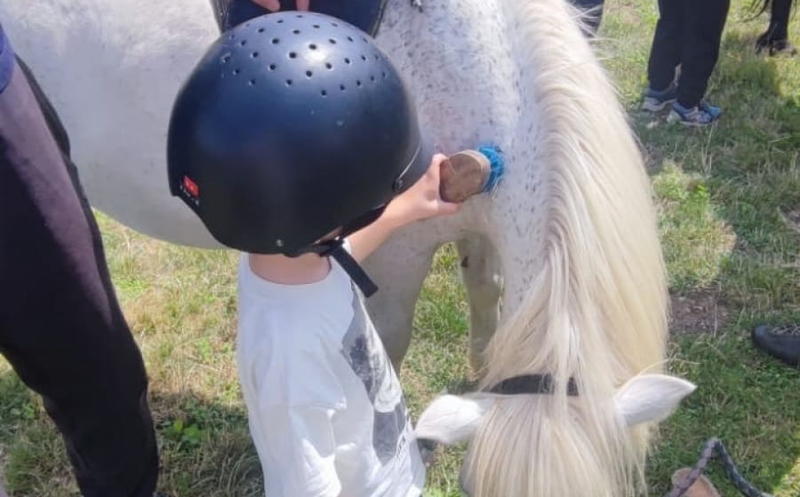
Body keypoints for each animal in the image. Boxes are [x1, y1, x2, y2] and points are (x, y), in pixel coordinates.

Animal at [0, 0, 695, 495]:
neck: (467, 59)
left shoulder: (481, 225)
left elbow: (487, 299)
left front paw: (481, 372)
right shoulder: (396, 255)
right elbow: (384, 345)